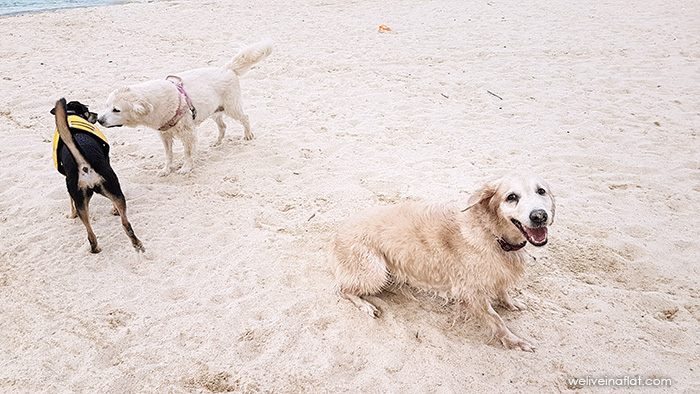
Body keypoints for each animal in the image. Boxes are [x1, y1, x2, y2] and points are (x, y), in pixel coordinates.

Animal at [53, 97, 145, 254]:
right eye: (88, 111)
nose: (96, 114)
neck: (70, 114)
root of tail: (84, 166)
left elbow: (71, 202)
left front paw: (71, 215)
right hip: (112, 190)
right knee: (124, 223)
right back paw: (135, 243)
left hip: (85, 199)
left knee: (93, 231)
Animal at [97, 40, 272, 175]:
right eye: (106, 106)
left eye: (116, 110)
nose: (99, 120)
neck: (156, 102)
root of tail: (227, 68)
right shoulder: (165, 135)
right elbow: (168, 155)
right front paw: (166, 170)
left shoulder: (188, 133)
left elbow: (187, 153)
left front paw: (186, 168)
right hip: (215, 111)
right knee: (223, 126)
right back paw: (217, 142)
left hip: (232, 107)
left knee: (245, 117)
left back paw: (248, 135)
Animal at [330, 172, 556, 350]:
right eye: (511, 197)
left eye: (541, 191)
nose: (539, 216)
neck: (492, 233)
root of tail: (337, 232)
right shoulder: (472, 292)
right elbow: (497, 320)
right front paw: (514, 341)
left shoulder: (497, 274)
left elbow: (503, 291)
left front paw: (510, 303)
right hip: (374, 272)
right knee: (342, 289)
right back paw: (365, 305)